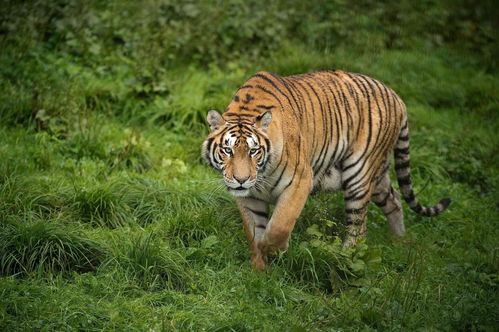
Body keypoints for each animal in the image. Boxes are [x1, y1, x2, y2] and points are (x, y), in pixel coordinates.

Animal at [201, 70, 452, 270]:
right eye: (228, 150)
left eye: (254, 151)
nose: (241, 180)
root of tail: (396, 96)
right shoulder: (249, 197)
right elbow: (253, 230)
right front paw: (259, 269)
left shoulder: (300, 181)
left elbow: (279, 224)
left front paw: (272, 249)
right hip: (378, 176)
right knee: (395, 199)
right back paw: (399, 241)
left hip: (359, 173)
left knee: (358, 229)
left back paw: (343, 258)